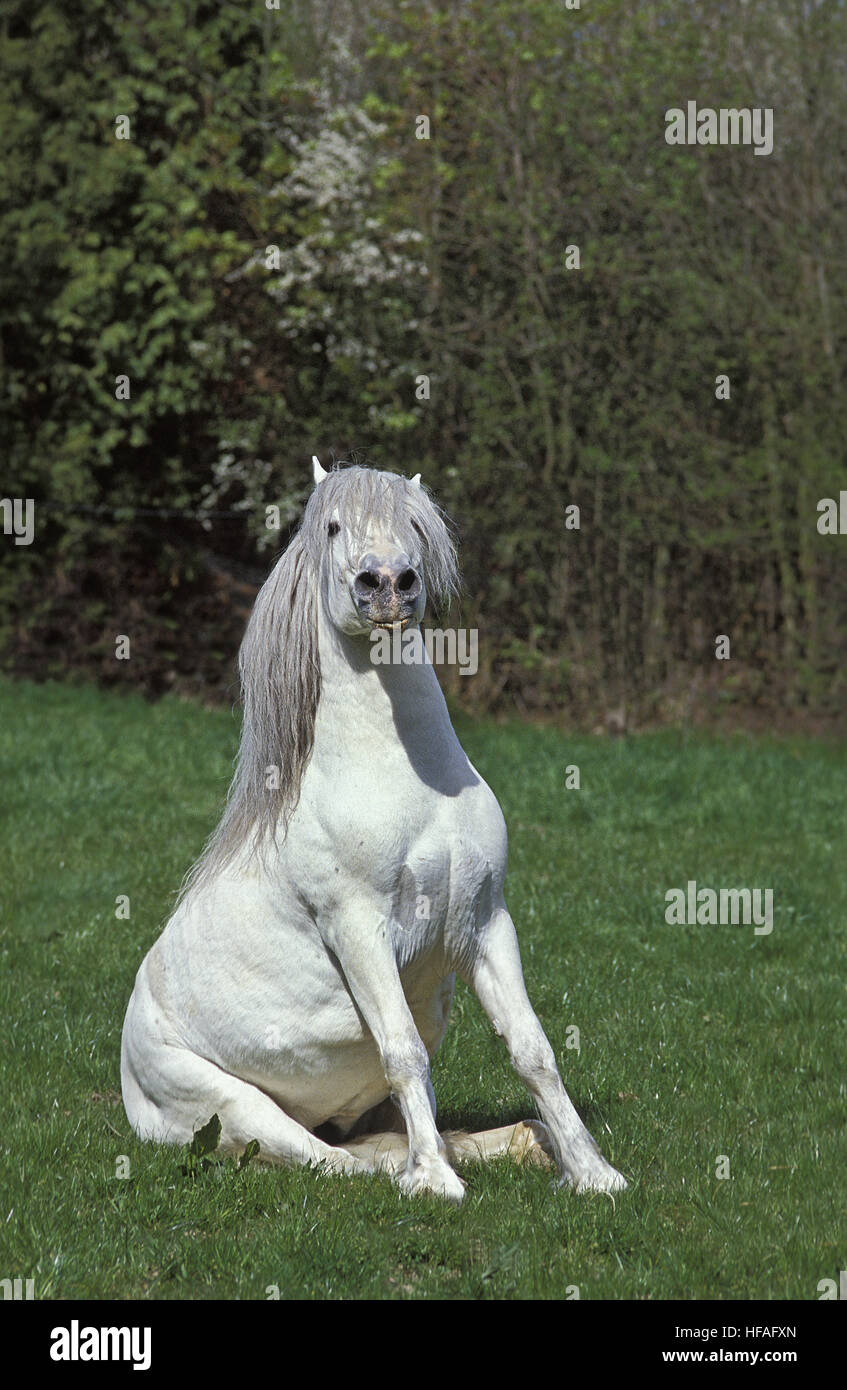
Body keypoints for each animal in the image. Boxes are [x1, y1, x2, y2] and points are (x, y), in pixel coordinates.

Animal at [123, 455, 628, 1195]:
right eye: (333, 526)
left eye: (414, 525)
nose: (387, 583)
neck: (410, 782)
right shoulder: (359, 928)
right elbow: (404, 1051)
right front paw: (437, 1186)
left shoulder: (485, 920)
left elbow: (532, 1050)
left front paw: (593, 1172)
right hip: (241, 1112)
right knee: (336, 1160)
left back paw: (520, 1144)